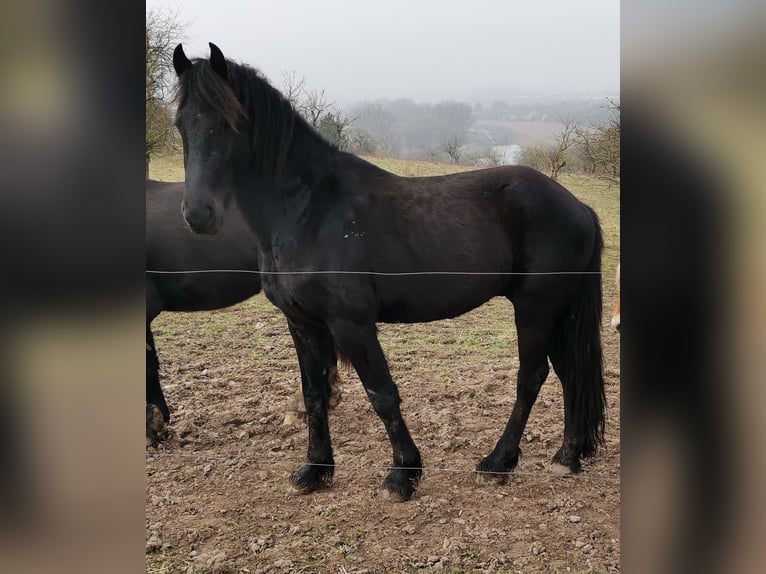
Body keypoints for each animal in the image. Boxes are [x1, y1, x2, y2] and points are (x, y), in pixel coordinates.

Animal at [172, 45, 608, 502]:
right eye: (181, 124)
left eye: (229, 123)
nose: (199, 214)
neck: (309, 209)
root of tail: (578, 206)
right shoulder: (303, 323)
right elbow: (314, 395)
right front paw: (314, 470)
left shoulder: (351, 323)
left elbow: (381, 394)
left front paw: (403, 474)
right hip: (556, 310)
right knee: (570, 372)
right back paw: (567, 457)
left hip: (535, 308)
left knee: (531, 377)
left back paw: (498, 462)